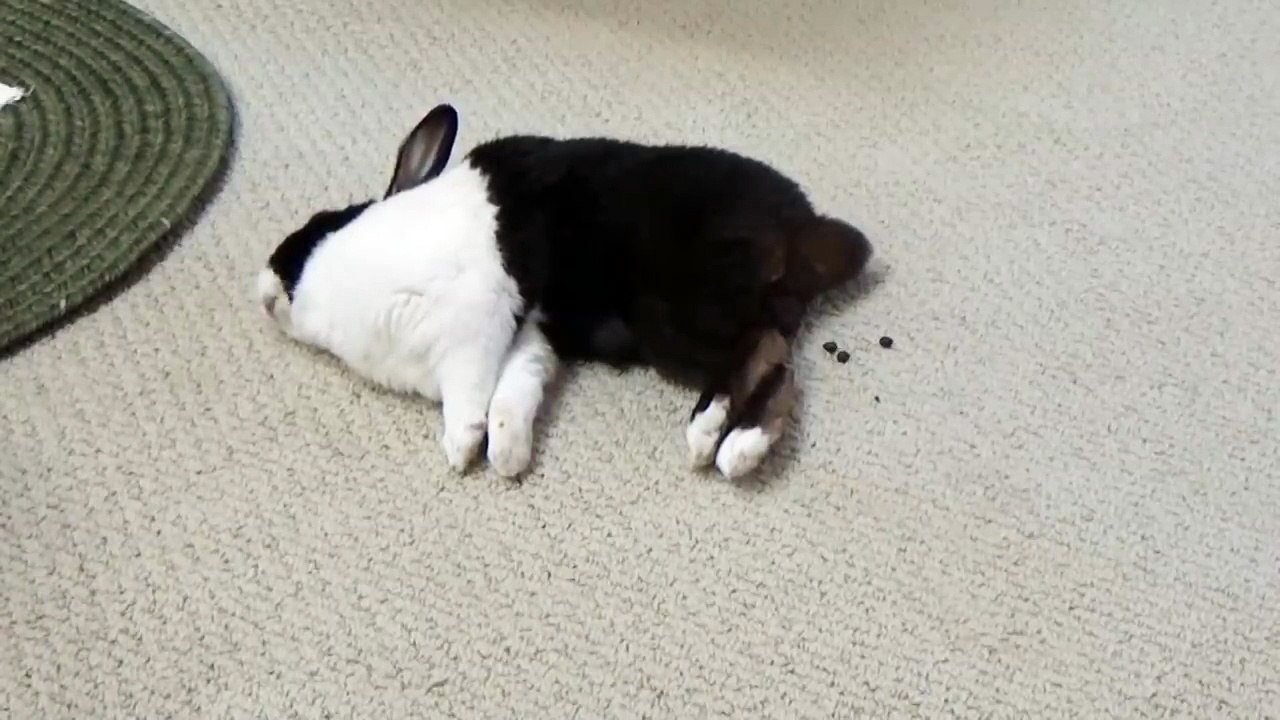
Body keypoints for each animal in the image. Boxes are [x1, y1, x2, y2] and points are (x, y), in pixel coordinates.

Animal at [258, 103, 873, 480]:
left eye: (314, 227)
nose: (262, 288)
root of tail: (801, 227)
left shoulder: (474, 325)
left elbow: (470, 391)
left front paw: (462, 448)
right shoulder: (531, 332)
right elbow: (516, 391)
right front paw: (508, 453)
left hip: (674, 314)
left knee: (758, 356)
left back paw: (713, 435)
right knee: (777, 362)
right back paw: (739, 445)